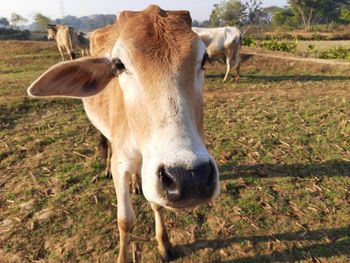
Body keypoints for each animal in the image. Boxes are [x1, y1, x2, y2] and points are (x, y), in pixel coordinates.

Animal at [28, 6, 219, 263]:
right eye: (118, 64)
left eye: (204, 58)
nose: (190, 178)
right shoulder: (121, 166)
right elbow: (125, 220)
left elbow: (156, 204)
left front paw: (164, 244)